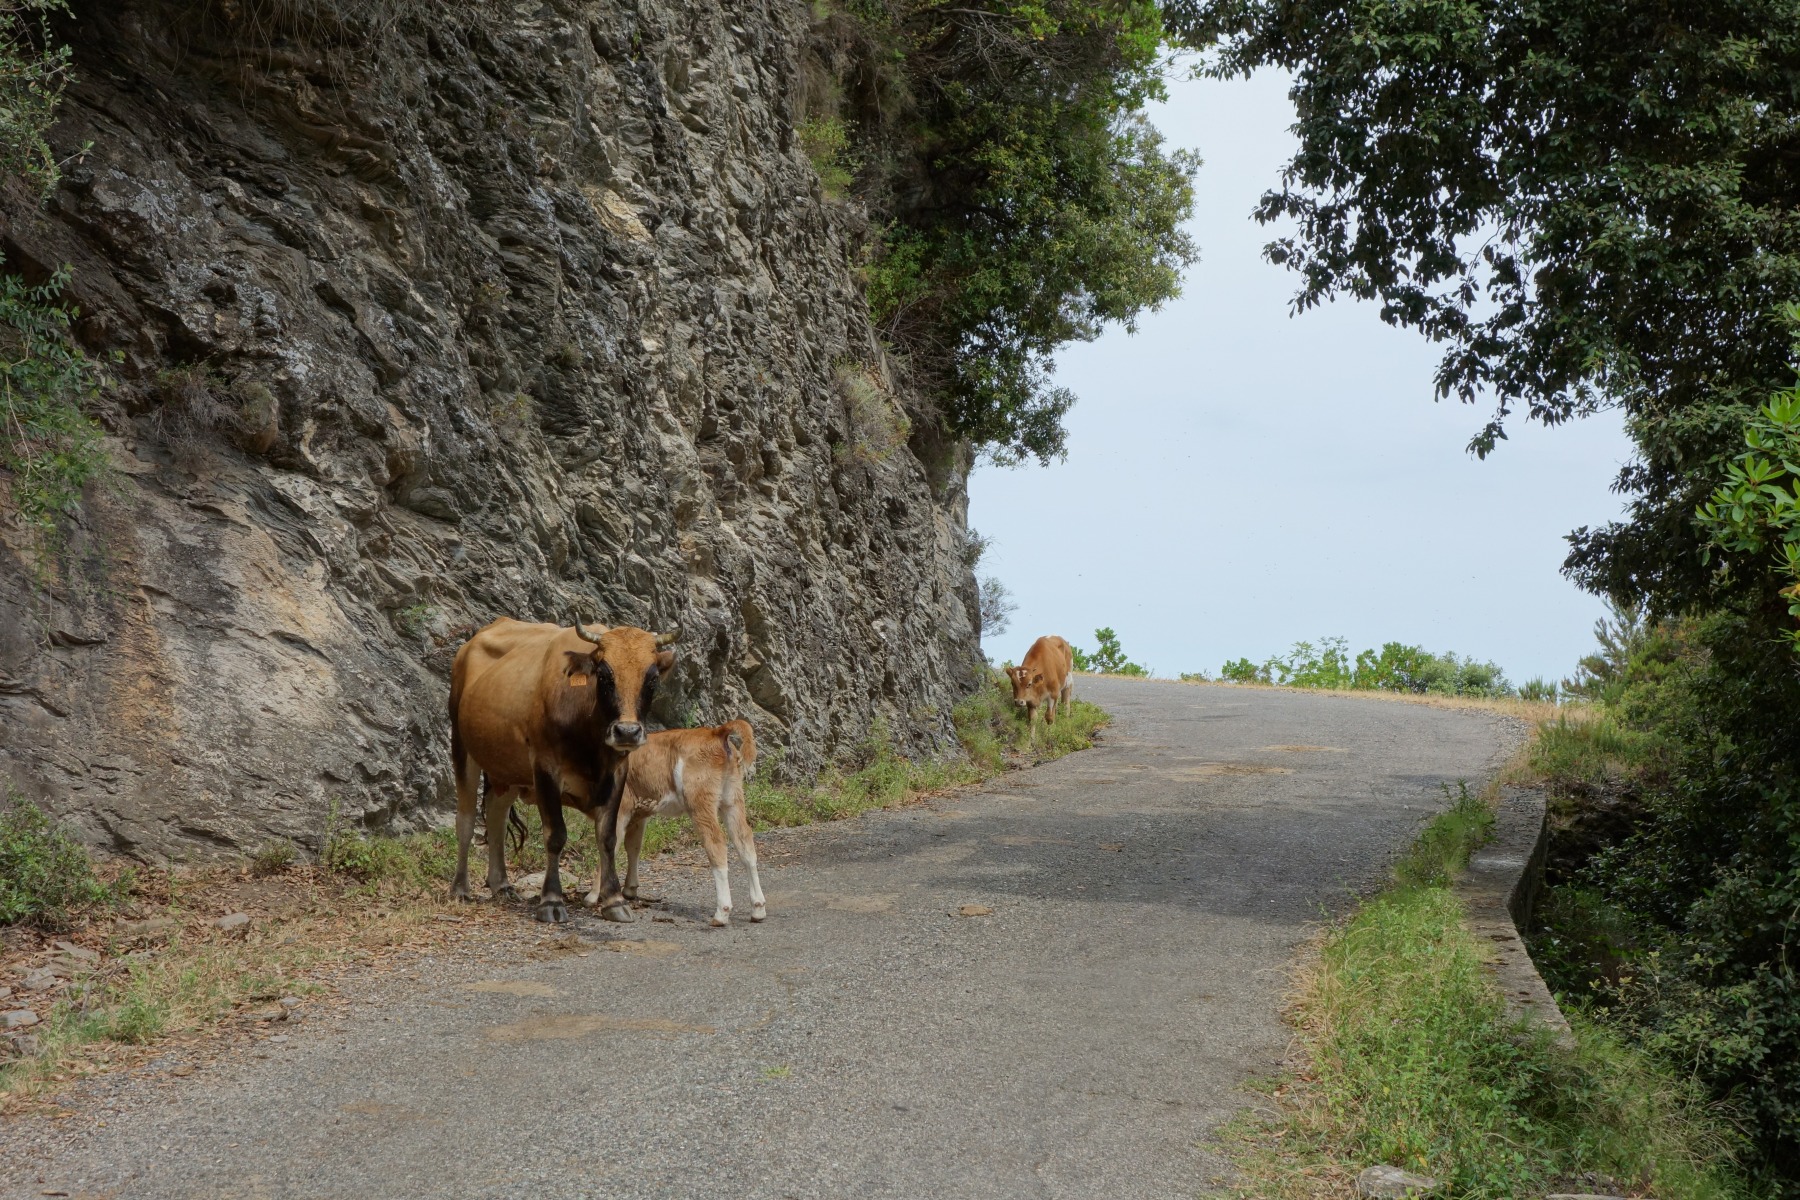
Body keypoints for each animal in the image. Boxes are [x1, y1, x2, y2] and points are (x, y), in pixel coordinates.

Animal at [446, 615, 676, 928]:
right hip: (462, 746)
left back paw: (501, 884)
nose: (627, 732)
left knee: (496, 815)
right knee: (466, 821)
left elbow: (608, 837)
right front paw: (551, 901)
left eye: (651, 679)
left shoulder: (617, 771)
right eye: (604, 675)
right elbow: (555, 835)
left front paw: (614, 901)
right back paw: (460, 888)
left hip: (507, 768)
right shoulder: (545, 769)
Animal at [590, 719, 759, 928]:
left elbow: (609, 846)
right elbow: (634, 846)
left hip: (700, 802)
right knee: (744, 840)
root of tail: (716, 731)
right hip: (732, 800)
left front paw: (593, 896)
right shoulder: (640, 813)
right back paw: (758, 909)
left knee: (716, 843)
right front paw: (629, 889)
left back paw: (721, 913)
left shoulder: (620, 809)